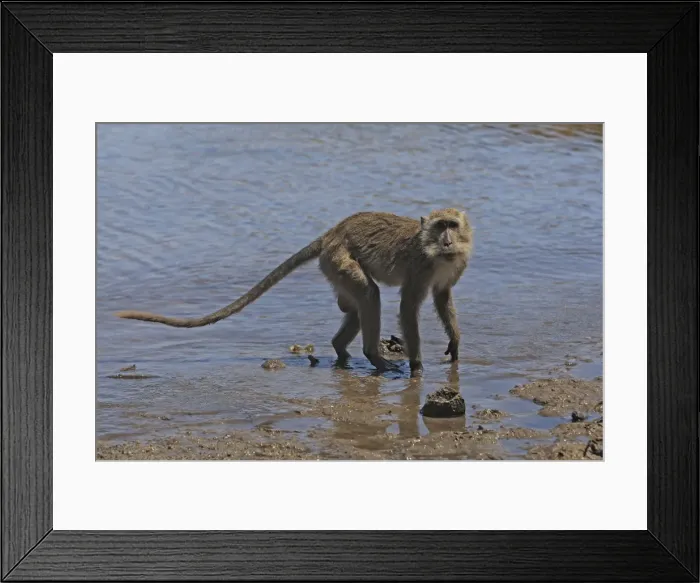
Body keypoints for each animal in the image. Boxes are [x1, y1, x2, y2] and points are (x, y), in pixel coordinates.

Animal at [115, 208, 473, 376]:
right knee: (369, 295)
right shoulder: (420, 266)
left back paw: (341, 350)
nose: (447, 241)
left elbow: (442, 296)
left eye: (452, 225)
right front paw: (417, 367)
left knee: (357, 303)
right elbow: (408, 307)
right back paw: (374, 358)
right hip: (338, 258)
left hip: (333, 267)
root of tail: (331, 232)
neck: (439, 255)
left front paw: (455, 342)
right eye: (440, 226)